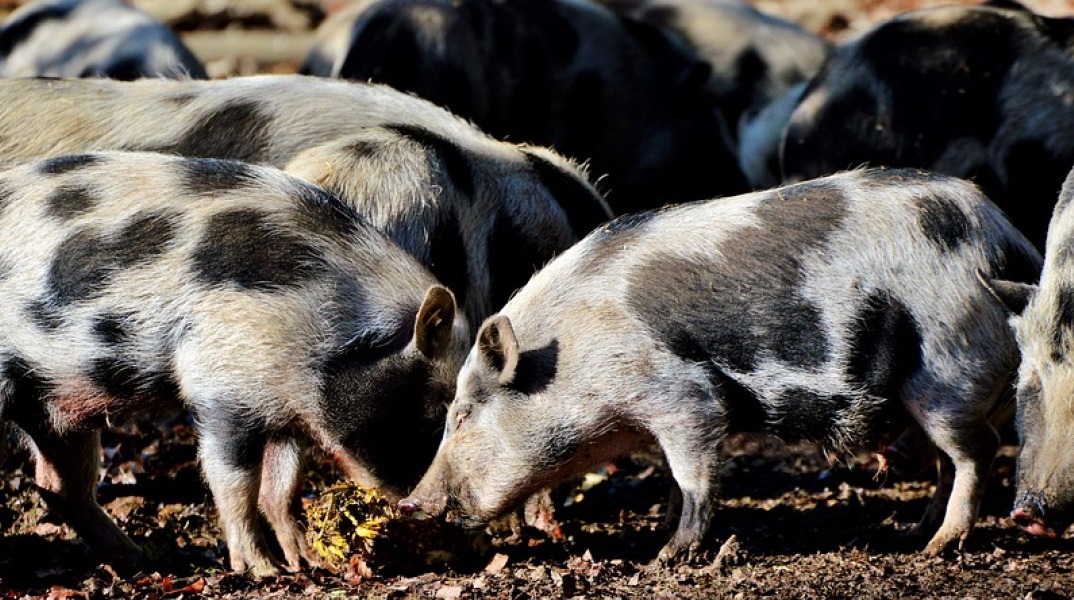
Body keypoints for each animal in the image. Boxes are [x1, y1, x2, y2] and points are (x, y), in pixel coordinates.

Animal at [0, 151, 469, 576]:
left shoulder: (284, 408)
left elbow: (282, 487)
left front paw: (307, 562)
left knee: (61, 487)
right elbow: (236, 485)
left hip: (56, 405)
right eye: (435, 413)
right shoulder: (223, 387)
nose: (425, 510)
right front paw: (265, 571)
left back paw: (145, 561)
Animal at [401, 168, 1042, 562]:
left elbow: (695, 475)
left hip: (946, 369)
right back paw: (917, 530)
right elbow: (669, 477)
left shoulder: (684, 399)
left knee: (978, 452)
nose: (409, 502)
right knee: (945, 461)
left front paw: (666, 555)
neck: (576, 353)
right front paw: (663, 531)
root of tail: (1008, 241)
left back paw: (940, 546)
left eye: (462, 414)